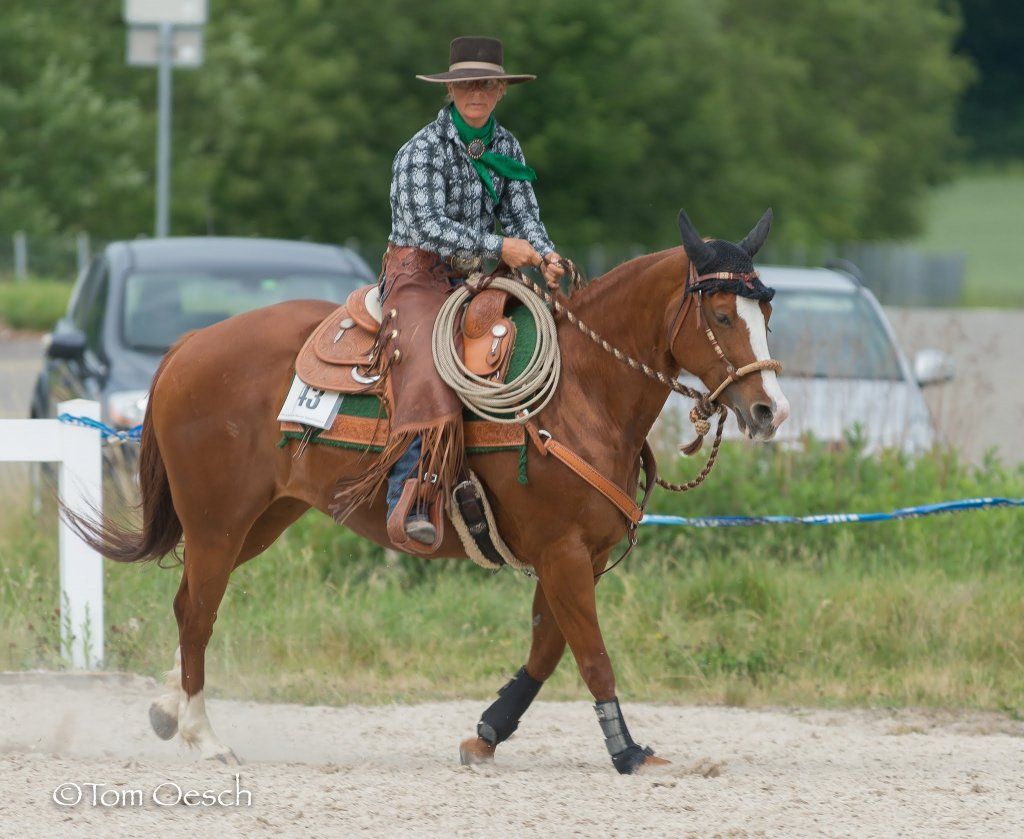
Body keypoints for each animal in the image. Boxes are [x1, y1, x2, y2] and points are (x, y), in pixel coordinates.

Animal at [68, 208, 789, 774]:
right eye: (721, 313)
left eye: (766, 309)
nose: (770, 410)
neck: (581, 388)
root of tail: (189, 343)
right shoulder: (561, 552)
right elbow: (590, 652)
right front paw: (627, 751)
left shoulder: (574, 555)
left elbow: (547, 648)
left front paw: (487, 734)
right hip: (217, 520)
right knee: (198, 612)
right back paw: (205, 736)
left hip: (260, 520)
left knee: (187, 601)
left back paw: (169, 710)